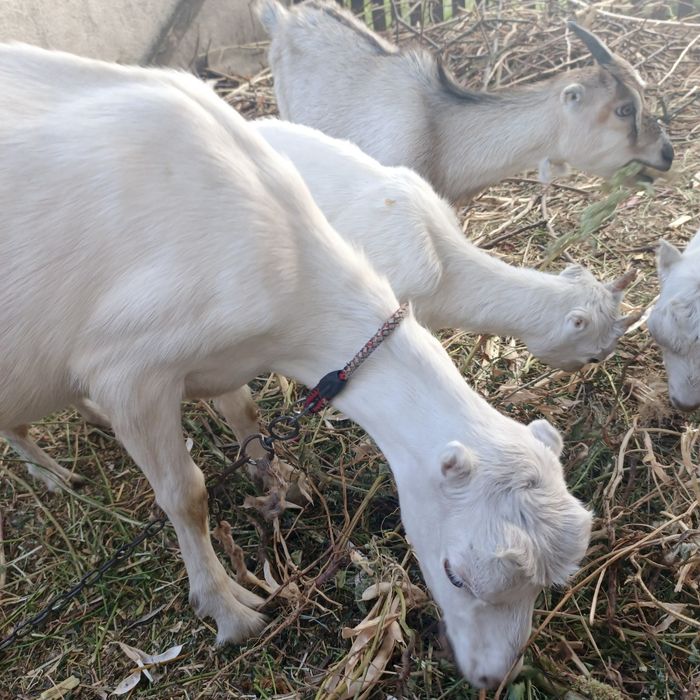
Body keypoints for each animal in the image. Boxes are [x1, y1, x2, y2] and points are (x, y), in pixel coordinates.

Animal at [0, 44, 592, 689]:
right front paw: (230, 610)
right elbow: (186, 495)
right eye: (455, 573)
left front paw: (280, 480)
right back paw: (54, 473)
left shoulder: (223, 356)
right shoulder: (129, 372)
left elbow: (247, 415)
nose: (491, 677)